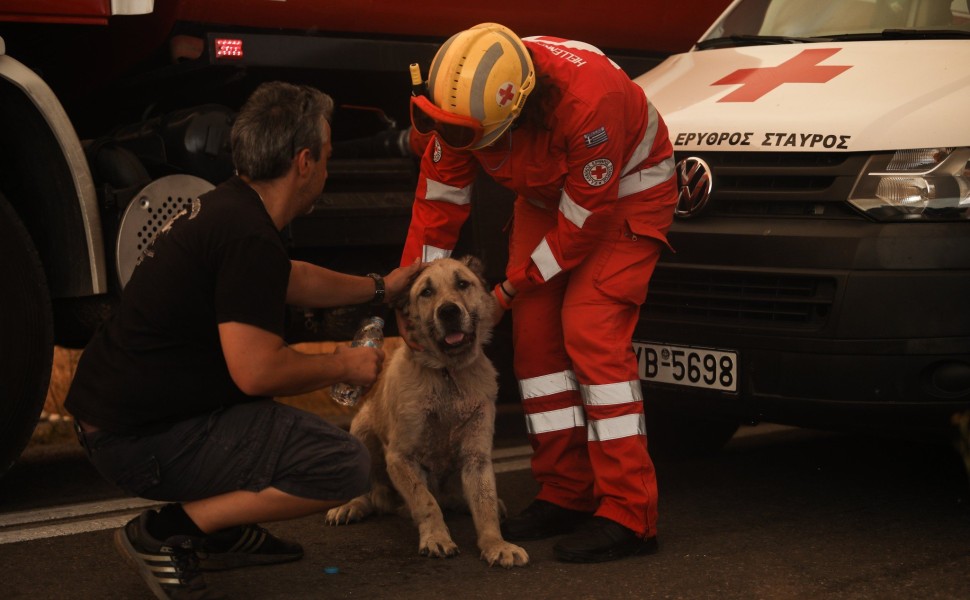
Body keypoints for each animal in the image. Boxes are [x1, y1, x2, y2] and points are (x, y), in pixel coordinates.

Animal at [326, 256, 524, 568]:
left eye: (462, 283)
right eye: (426, 292)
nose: (448, 311)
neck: (448, 374)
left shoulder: (477, 457)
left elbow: (485, 504)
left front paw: (496, 543)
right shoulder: (400, 457)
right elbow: (425, 501)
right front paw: (436, 538)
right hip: (361, 430)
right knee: (372, 495)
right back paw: (352, 506)